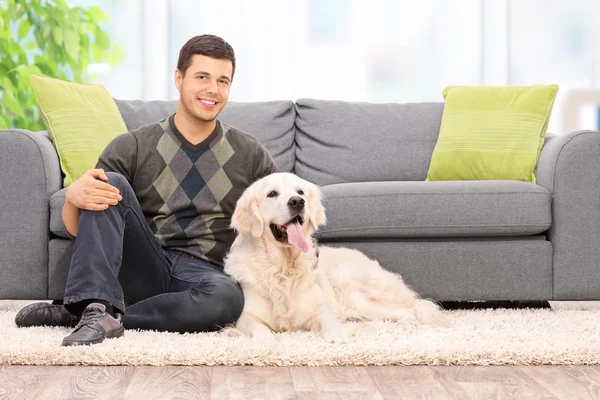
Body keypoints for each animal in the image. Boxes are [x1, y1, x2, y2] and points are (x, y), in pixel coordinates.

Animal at [223, 173, 448, 342]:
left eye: (300, 192)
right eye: (272, 194)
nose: (297, 202)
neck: (282, 268)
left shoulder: (319, 310)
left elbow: (329, 324)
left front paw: (338, 336)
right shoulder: (246, 316)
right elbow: (259, 329)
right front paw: (265, 340)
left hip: (356, 293)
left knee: (410, 310)